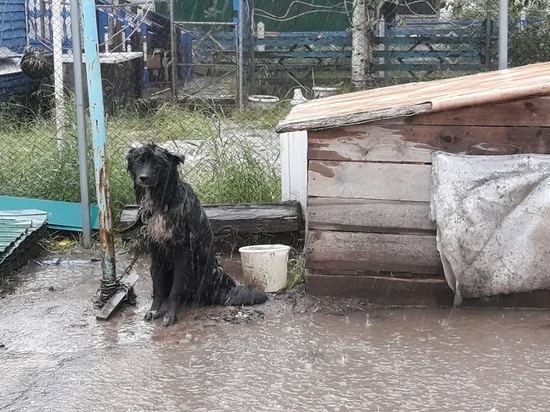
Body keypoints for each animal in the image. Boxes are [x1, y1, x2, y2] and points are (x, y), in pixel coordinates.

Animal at [126, 143, 267, 326]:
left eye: (157, 163)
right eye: (139, 161)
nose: (143, 177)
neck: (163, 202)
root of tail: (225, 291)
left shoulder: (183, 252)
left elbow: (176, 289)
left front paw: (170, 314)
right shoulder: (156, 251)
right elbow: (158, 286)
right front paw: (154, 310)